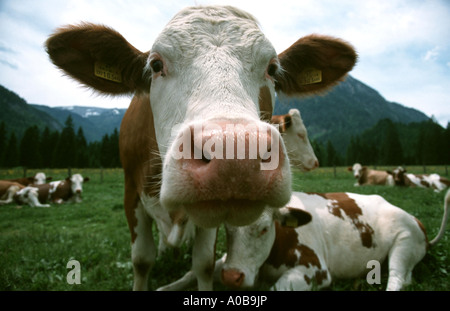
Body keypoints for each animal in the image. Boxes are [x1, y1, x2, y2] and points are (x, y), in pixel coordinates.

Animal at [44, 4, 356, 292]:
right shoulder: (130, 189)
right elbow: (141, 260)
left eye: (272, 68)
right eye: (155, 65)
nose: (234, 158)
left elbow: (204, 264)